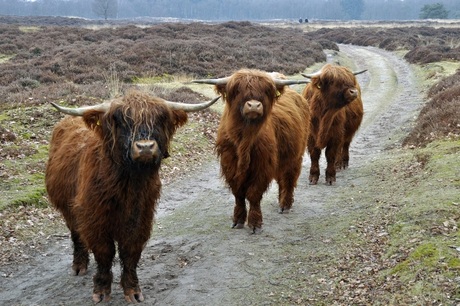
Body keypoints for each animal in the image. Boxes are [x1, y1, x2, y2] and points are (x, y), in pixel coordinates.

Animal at [45, 89, 218, 302]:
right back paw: (79, 266)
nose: (145, 147)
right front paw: (101, 290)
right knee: (76, 234)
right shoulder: (94, 217)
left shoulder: (140, 217)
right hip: (68, 208)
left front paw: (132, 290)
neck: (128, 184)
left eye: (159, 119)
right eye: (122, 121)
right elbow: (104, 252)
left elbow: (130, 252)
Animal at [192, 68, 310, 232]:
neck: (244, 139)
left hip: (295, 156)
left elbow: (254, 194)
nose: (254, 106)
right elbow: (238, 194)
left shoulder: (262, 165)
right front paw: (238, 220)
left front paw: (255, 223)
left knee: (289, 178)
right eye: (237, 90)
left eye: (266, 91)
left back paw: (285, 204)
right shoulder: (229, 164)